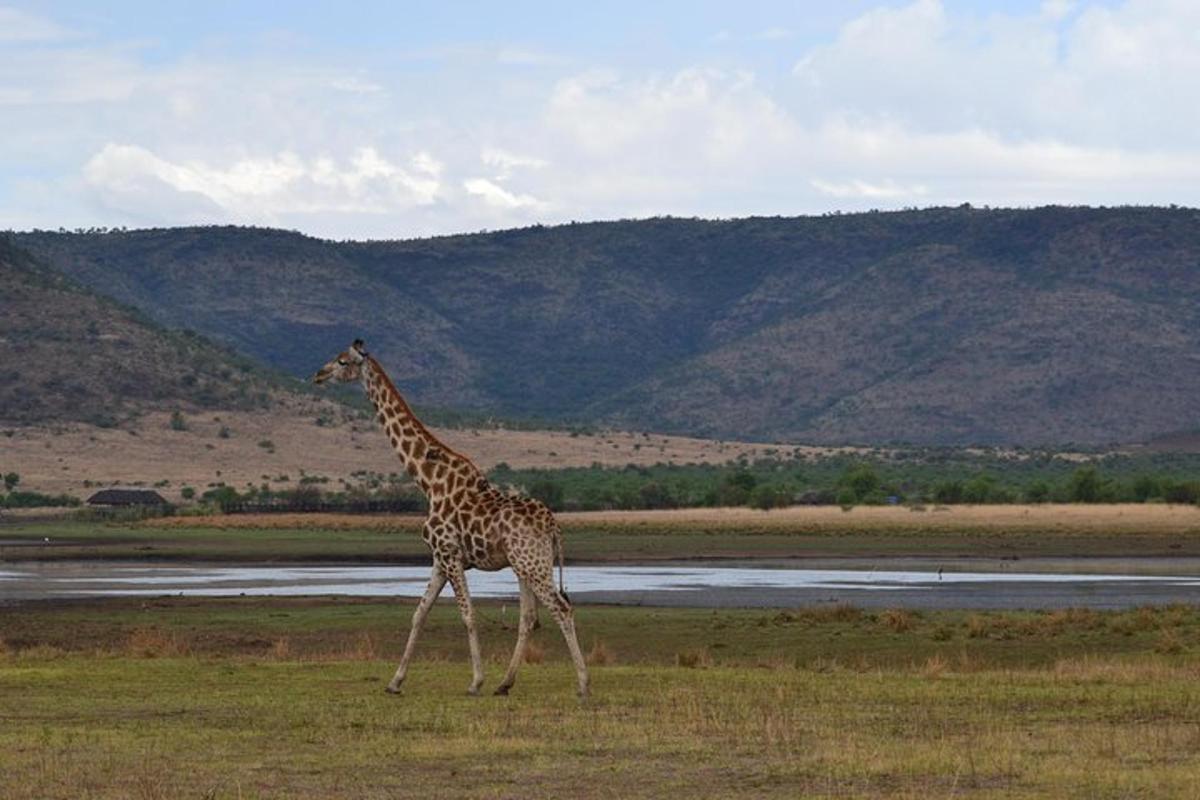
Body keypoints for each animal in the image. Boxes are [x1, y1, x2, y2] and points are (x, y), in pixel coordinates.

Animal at [312, 340, 588, 695]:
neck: (429, 481)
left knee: (562, 608)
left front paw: (475, 681)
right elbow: (419, 613)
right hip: (525, 564)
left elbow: (467, 614)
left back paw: (582, 685)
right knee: (529, 618)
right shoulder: (438, 560)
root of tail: (553, 525)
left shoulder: (449, 554)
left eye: (342, 361)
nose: (318, 375)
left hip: (532, 563)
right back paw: (505, 684)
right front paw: (395, 682)